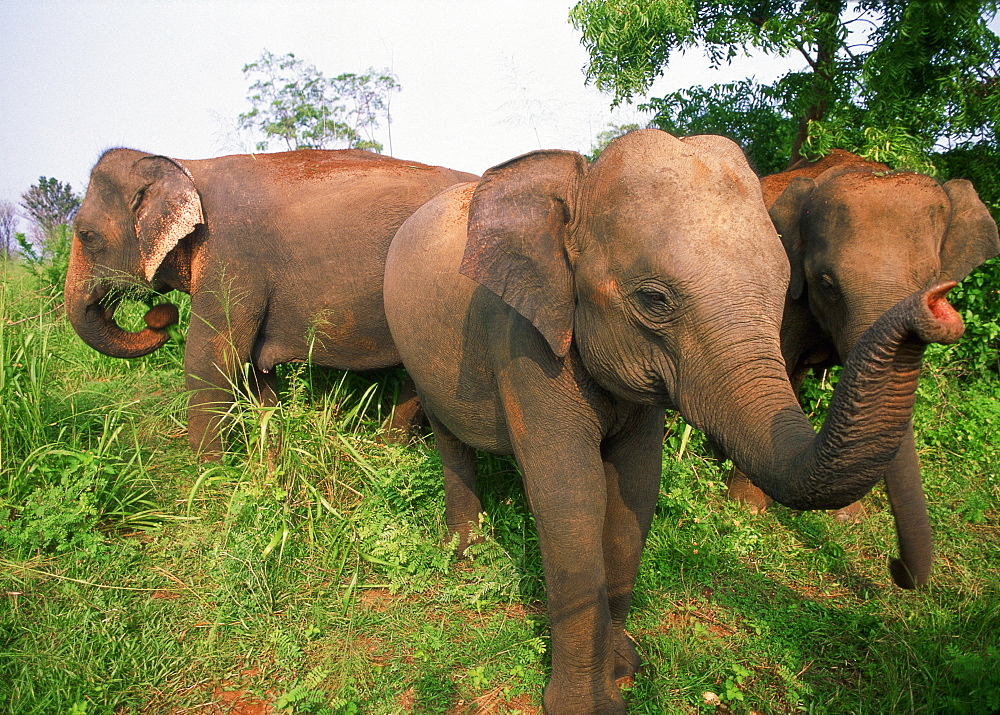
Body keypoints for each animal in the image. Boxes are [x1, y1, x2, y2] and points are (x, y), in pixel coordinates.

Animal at [67, 148, 480, 458]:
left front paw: (210, 480)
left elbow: (211, 359)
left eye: (87, 235)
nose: (161, 319)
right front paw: (270, 451)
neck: (184, 167)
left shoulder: (230, 256)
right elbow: (253, 367)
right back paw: (386, 449)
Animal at [380, 130, 960, 715]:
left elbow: (634, 490)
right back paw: (467, 554)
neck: (579, 186)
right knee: (450, 440)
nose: (940, 303)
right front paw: (587, 705)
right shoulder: (522, 340)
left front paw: (623, 669)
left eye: (785, 290)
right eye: (654, 299)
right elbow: (571, 497)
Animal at [728, 148, 1000, 592]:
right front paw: (747, 509)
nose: (894, 565)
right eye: (826, 283)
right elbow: (777, 363)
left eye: (932, 278)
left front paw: (847, 520)